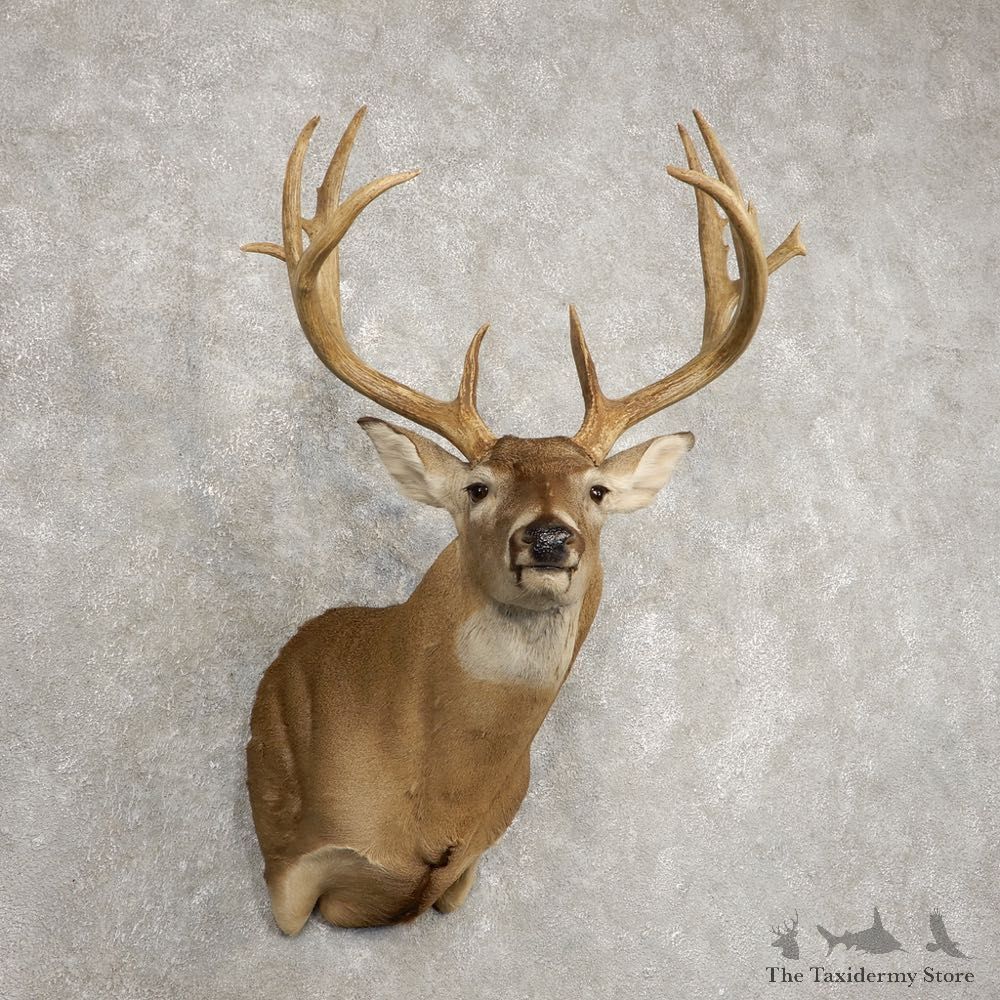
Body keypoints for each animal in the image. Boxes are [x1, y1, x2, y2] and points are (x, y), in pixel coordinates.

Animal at [241, 106, 805, 934]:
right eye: (478, 487)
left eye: (596, 491)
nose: (547, 537)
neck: (436, 808)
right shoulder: (289, 868)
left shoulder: (463, 874)